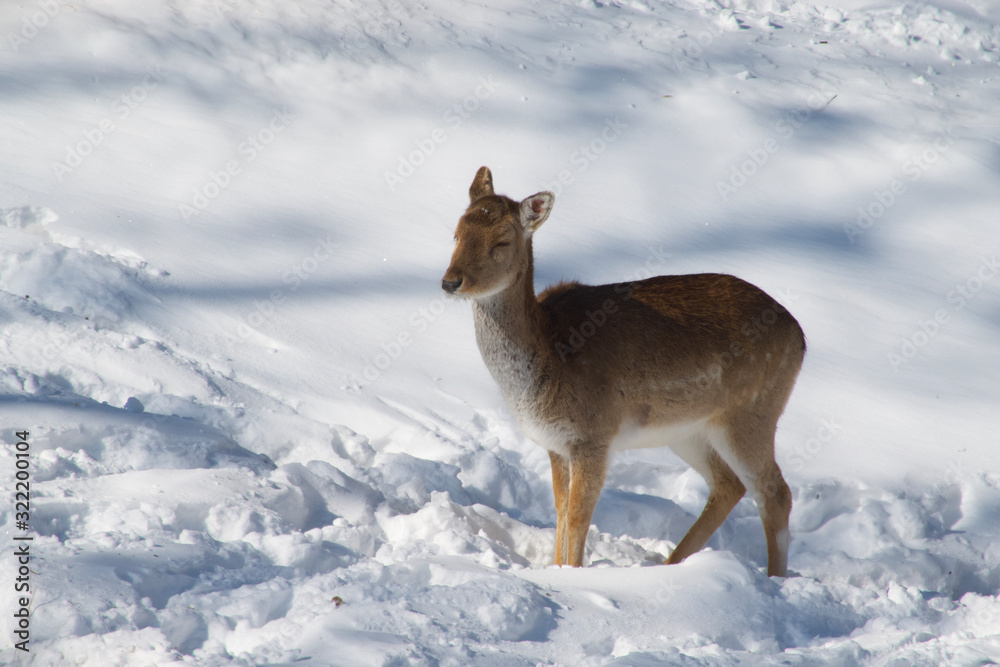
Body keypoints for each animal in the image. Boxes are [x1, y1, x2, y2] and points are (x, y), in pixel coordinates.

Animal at [441, 167, 805, 576]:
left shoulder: (594, 435)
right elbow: (560, 509)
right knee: (729, 485)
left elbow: (579, 515)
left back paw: (774, 580)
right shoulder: (556, 444)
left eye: (502, 241)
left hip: (753, 412)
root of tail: (800, 336)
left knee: (775, 491)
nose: (451, 281)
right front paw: (555, 569)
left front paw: (571, 575)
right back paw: (671, 565)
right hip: (689, 429)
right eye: (456, 232)